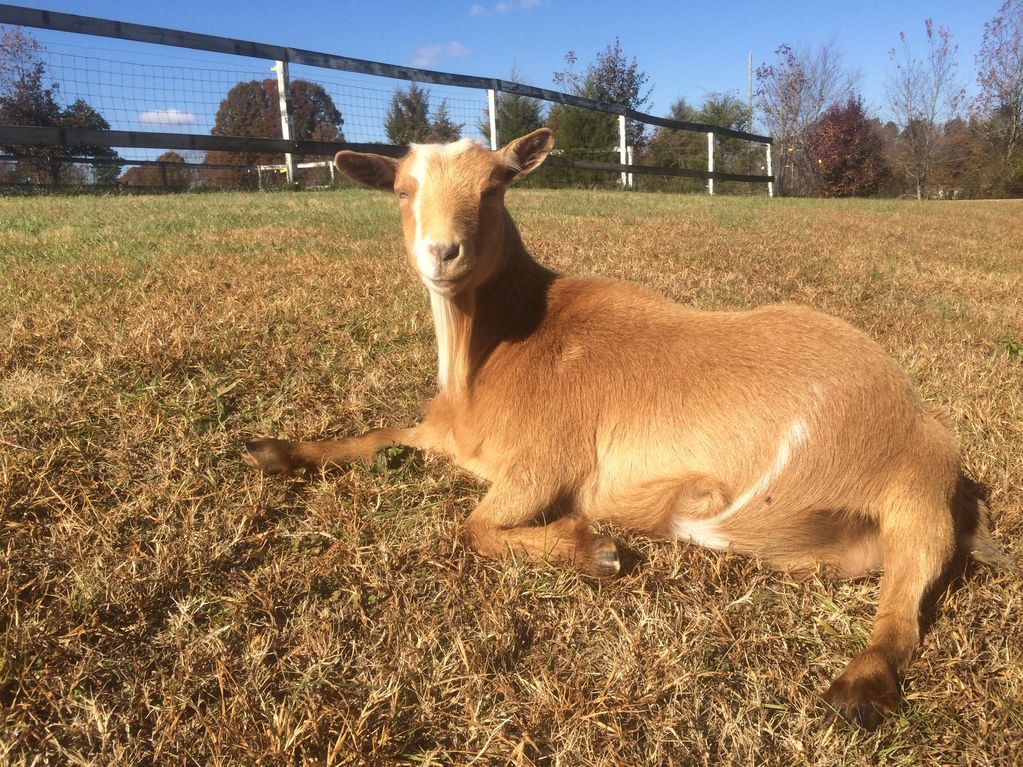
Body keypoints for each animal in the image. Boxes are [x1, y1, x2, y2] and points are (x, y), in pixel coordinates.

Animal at [241, 130, 1006, 732]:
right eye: (401, 190)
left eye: (495, 187)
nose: (442, 252)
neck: (499, 346)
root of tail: (913, 415)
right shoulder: (449, 434)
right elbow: (376, 436)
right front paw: (273, 449)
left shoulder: (545, 460)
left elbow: (474, 529)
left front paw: (594, 550)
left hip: (914, 481)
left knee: (907, 595)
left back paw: (858, 687)